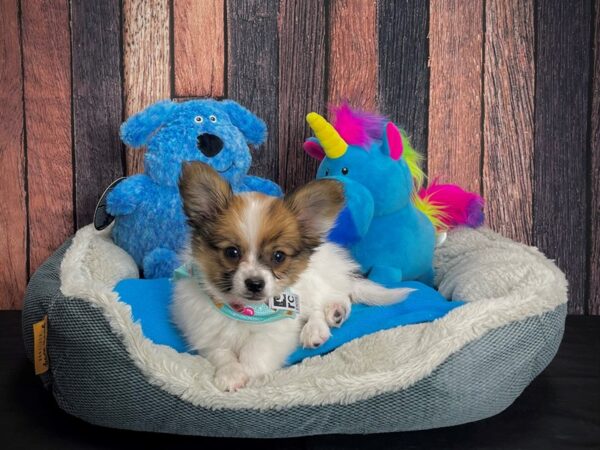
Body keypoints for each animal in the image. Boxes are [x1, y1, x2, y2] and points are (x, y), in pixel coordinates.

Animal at [171, 162, 410, 390]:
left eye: (278, 256)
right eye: (232, 252)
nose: (255, 283)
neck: (246, 311)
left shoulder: (275, 333)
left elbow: (254, 356)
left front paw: (248, 374)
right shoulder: (205, 333)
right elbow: (221, 353)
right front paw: (231, 374)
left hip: (310, 283)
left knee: (333, 299)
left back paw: (323, 323)